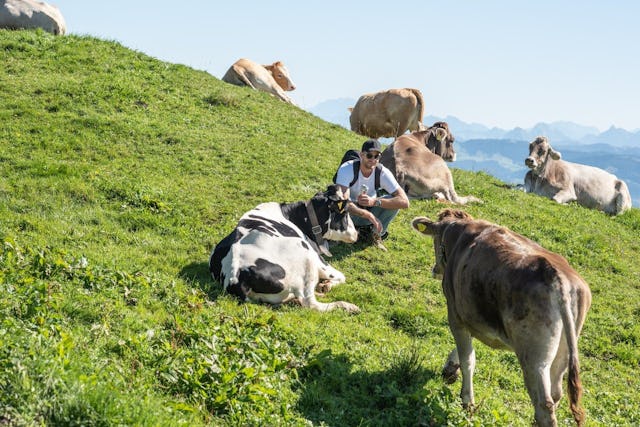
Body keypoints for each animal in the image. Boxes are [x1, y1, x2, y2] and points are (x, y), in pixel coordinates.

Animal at [209, 185, 360, 313]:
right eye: (346, 213)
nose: (356, 234)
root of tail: (235, 275)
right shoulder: (316, 257)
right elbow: (342, 276)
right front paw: (327, 285)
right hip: (306, 256)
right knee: (310, 303)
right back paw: (346, 306)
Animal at [411, 209, 591, 427]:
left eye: (435, 240)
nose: (435, 270)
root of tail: (560, 279)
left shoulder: (455, 312)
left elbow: (468, 359)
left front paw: (467, 402)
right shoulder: (472, 314)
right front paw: (450, 369)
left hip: (533, 358)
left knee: (544, 405)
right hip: (563, 352)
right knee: (556, 393)